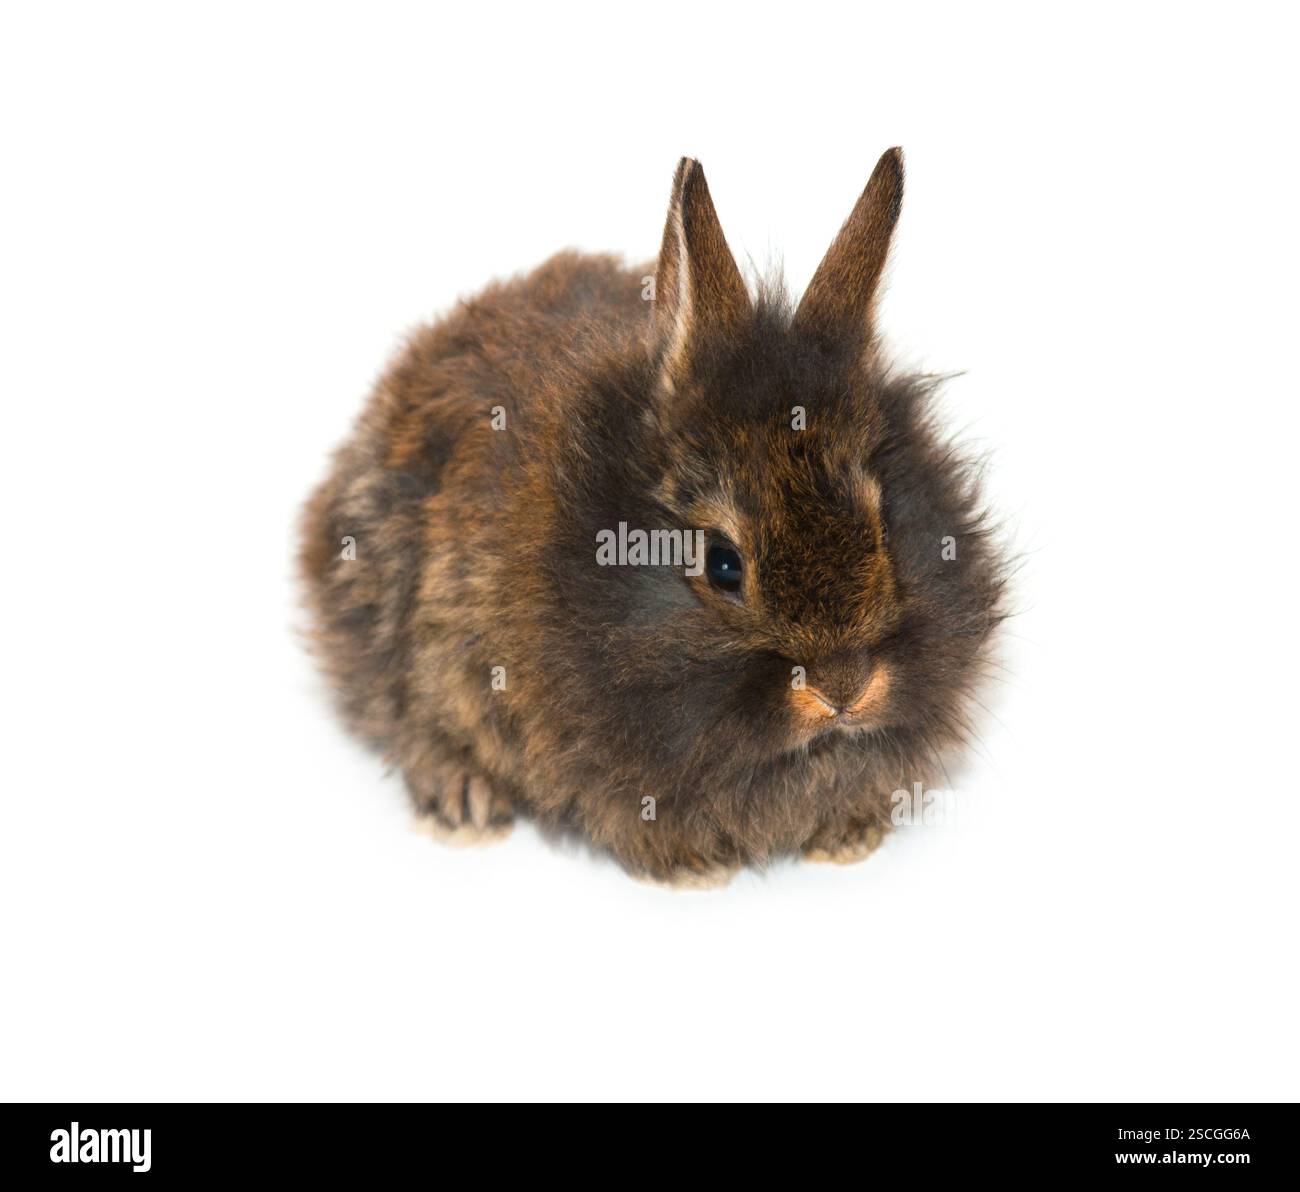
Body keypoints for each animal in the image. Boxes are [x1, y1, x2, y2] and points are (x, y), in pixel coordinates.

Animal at [299, 148, 1006, 887]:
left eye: (883, 526)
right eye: (721, 564)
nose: (843, 690)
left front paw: (848, 837)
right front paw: (697, 869)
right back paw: (464, 804)